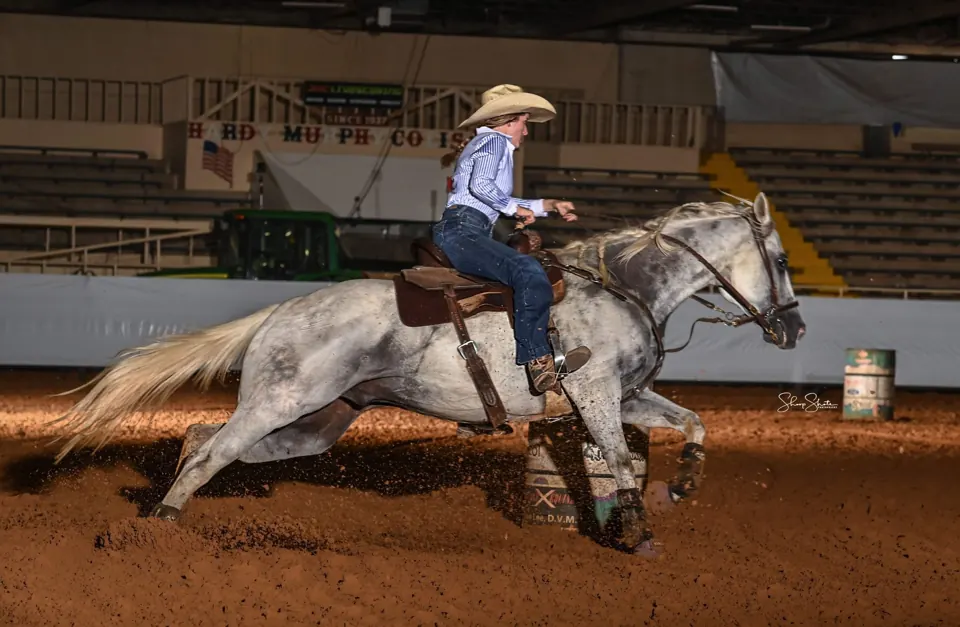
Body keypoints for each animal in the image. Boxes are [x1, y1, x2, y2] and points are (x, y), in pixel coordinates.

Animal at [49, 191, 806, 557]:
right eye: (781, 260)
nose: (795, 328)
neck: (625, 288)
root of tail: (280, 310)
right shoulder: (594, 395)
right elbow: (619, 460)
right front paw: (635, 531)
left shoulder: (631, 394)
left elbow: (693, 421)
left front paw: (682, 485)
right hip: (283, 401)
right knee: (210, 450)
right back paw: (158, 530)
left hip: (313, 423)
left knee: (203, 440)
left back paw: (171, 519)